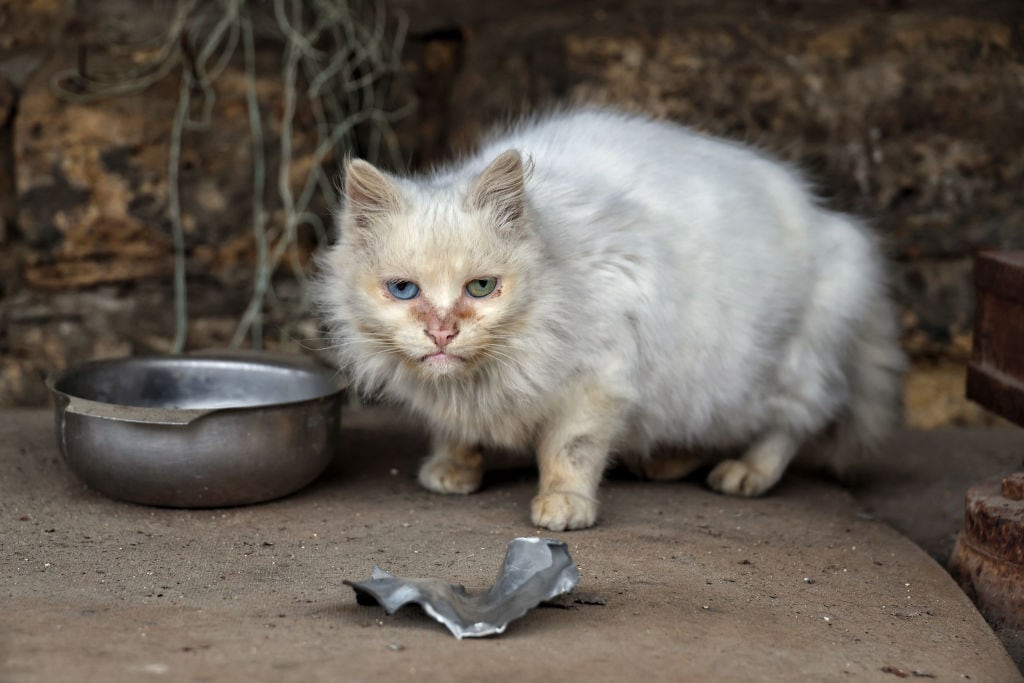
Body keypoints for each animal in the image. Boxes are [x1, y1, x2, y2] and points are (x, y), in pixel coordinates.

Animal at [317, 108, 905, 532]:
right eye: (404, 290)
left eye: (481, 288)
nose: (442, 331)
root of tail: (832, 224)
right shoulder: (455, 397)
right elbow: (454, 430)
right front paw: (454, 470)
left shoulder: (595, 383)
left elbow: (569, 453)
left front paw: (563, 507)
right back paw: (666, 463)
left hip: (779, 369)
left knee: (795, 421)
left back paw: (745, 474)